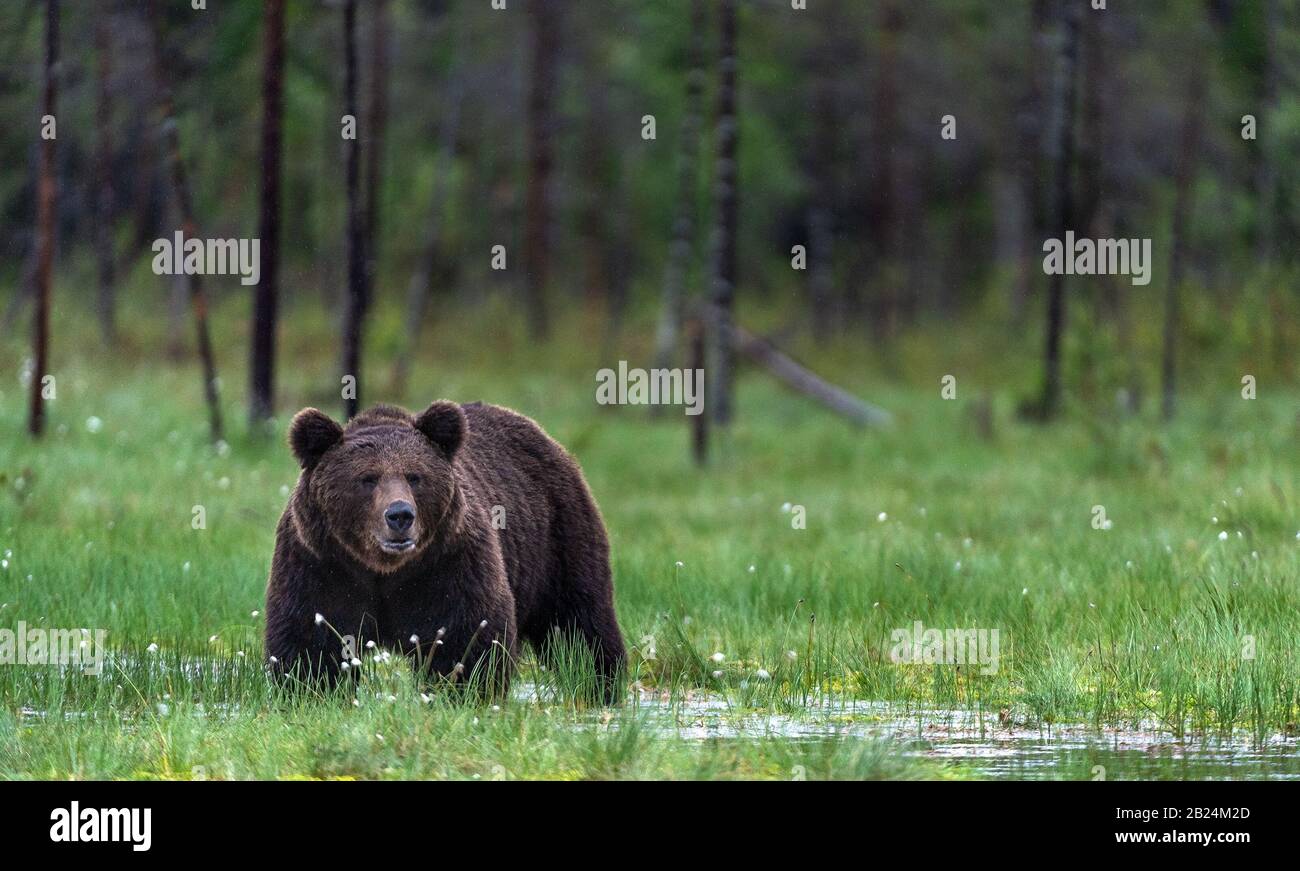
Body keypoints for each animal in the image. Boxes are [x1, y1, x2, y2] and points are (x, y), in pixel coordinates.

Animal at [262, 400, 624, 702]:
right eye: (367, 478)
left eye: (414, 476)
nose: (400, 515)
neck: (383, 569)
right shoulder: (321, 565)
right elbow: (312, 640)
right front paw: (312, 692)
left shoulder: (448, 564)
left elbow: (465, 636)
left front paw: (463, 693)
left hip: (556, 538)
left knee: (579, 623)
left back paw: (600, 685)